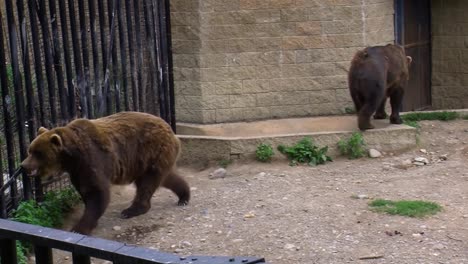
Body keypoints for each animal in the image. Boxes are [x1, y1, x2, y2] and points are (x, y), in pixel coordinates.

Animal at [21, 110, 190, 234]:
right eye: (30, 150)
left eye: (37, 153)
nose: (23, 165)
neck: (71, 158)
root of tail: (171, 131)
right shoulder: (77, 171)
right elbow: (85, 191)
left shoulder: (93, 160)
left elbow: (97, 192)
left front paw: (79, 228)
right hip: (145, 161)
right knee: (164, 178)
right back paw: (184, 196)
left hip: (151, 150)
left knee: (147, 184)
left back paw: (131, 210)